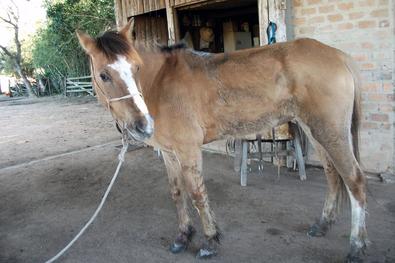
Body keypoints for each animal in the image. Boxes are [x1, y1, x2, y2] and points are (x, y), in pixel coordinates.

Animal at [76, 21, 368, 263]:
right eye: (104, 75)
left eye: (136, 68)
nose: (144, 124)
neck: (160, 82)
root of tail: (339, 56)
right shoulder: (169, 153)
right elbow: (177, 194)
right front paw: (183, 236)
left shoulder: (188, 150)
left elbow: (197, 195)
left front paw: (210, 242)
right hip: (314, 130)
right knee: (333, 175)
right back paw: (322, 225)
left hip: (330, 132)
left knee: (354, 180)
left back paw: (357, 247)